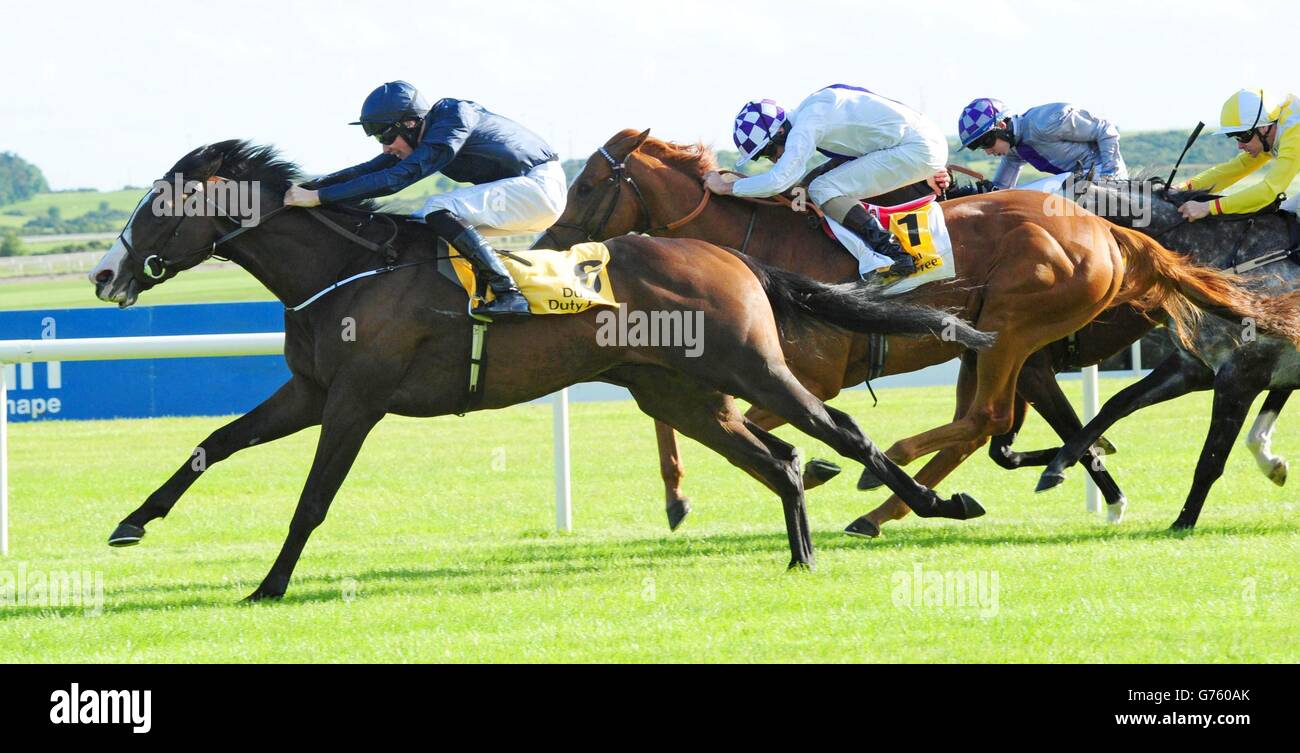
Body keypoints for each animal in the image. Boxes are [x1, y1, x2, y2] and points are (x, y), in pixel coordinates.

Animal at [86, 139, 987, 600]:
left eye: (159, 205)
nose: (103, 273)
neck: (345, 270)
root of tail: (729, 255)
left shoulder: (356, 399)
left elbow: (312, 498)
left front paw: (269, 585)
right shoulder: (310, 391)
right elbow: (214, 441)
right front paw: (132, 521)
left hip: (752, 366)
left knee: (839, 428)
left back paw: (935, 503)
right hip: (680, 391)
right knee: (785, 457)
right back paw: (801, 555)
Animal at [538, 132, 1300, 538]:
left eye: (589, 183)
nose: (549, 246)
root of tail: (1108, 231)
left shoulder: (805, 377)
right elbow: (671, 418)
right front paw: (677, 496)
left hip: (1010, 326)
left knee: (983, 419)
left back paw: (897, 485)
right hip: (994, 340)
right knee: (979, 424)